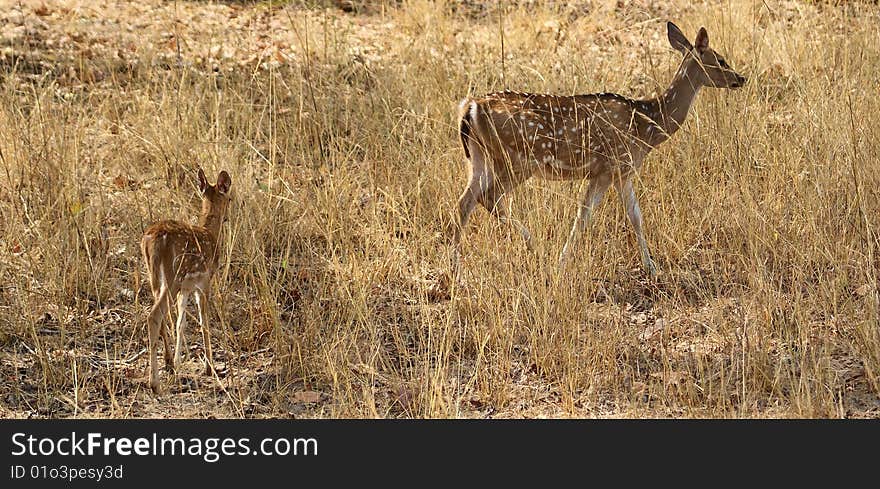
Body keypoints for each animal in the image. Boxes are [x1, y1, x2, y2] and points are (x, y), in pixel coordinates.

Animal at [141, 168, 232, 392]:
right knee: (154, 316)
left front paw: (178, 361)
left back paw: (168, 364)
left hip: (154, 277)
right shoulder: (204, 281)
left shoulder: (186, 289)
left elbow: (180, 323)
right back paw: (155, 383)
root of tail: (153, 239)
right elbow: (203, 320)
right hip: (173, 276)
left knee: (162, 316)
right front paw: (210, 368)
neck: (211, 233)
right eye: (230, 198)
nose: (227, 217)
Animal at [454, 21, 748, 274]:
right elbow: (592, 217)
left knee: (465, 201)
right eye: (720, 60)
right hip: (517, 159)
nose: (741, 78)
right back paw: (533, 245)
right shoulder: (614, 167)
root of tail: (471, 107)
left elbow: (628, 216)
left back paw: (455, 262)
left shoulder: (613, 173)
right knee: (489, 197)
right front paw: (562, 263)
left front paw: (650, 266)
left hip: (479, 157)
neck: (647, 125)